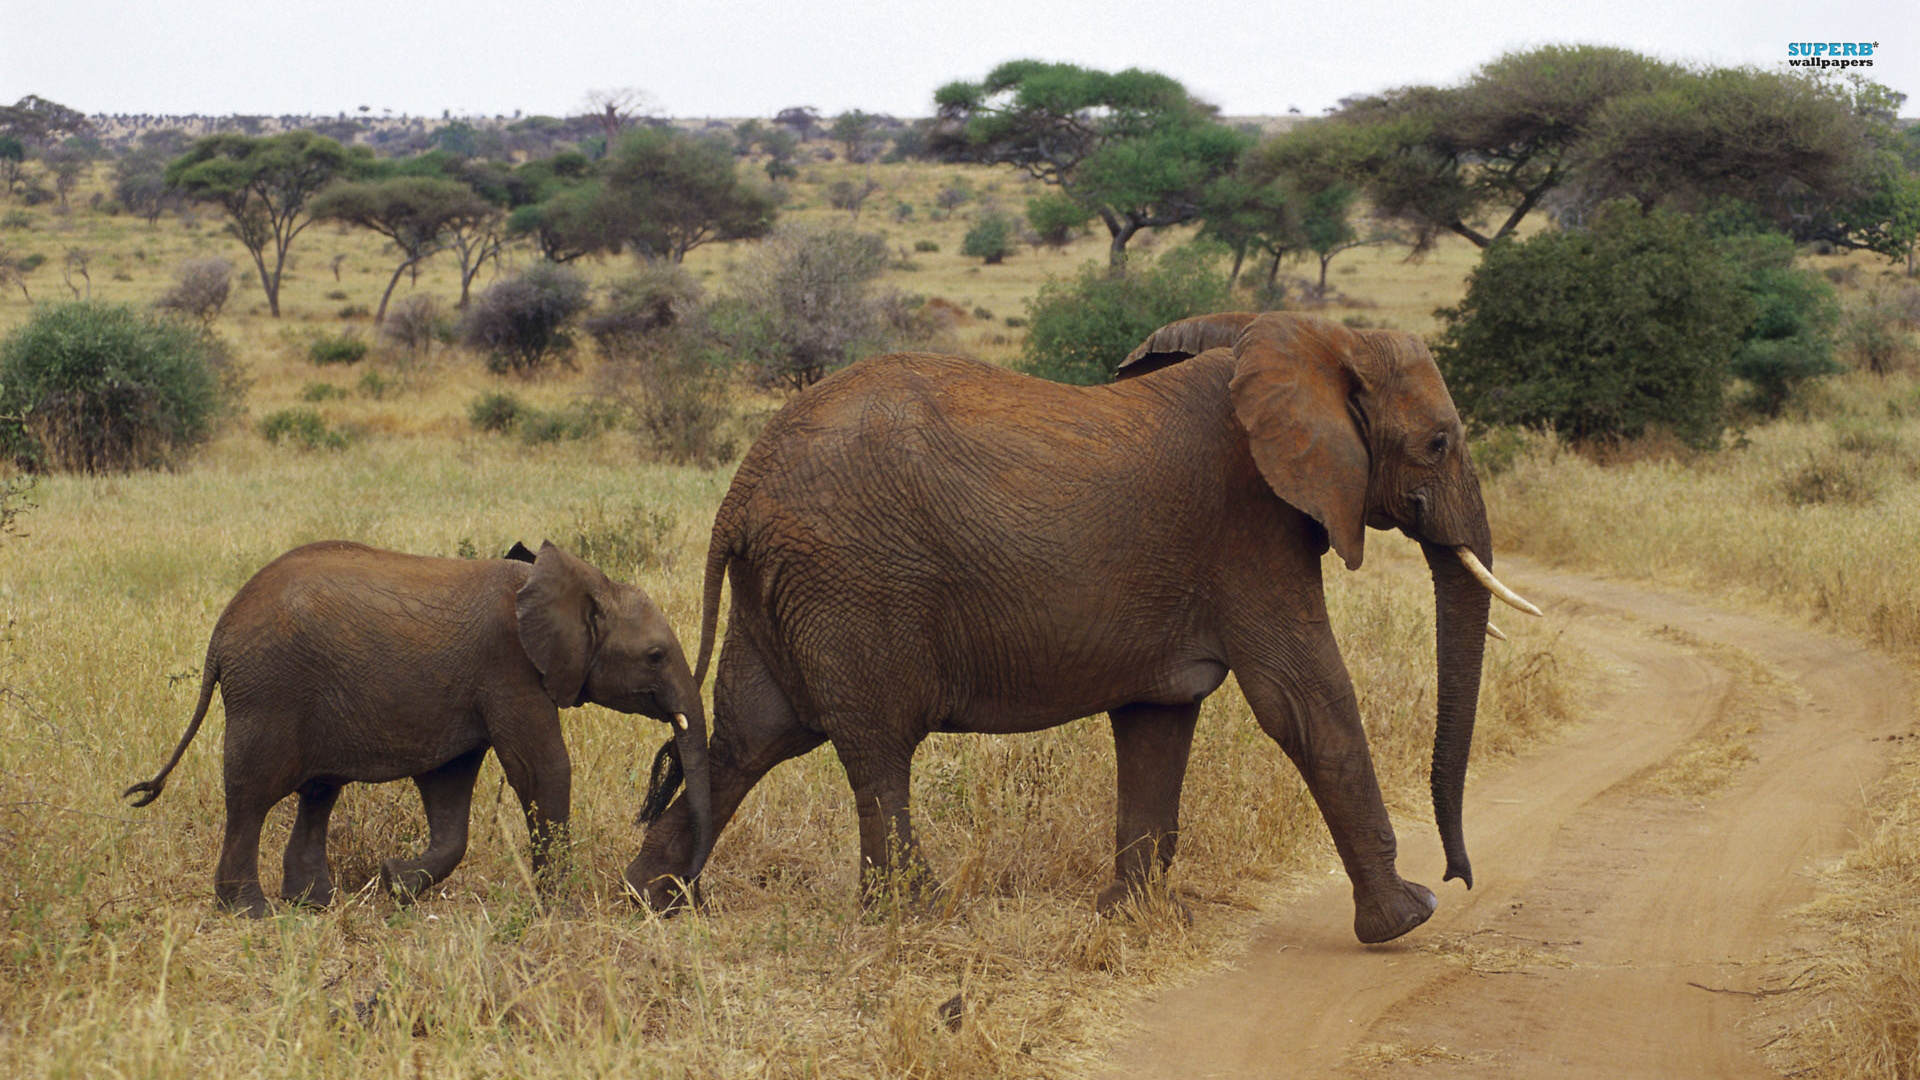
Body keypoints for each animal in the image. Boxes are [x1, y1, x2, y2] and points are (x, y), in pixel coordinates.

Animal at [123, 539, 715, 917]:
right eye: (656, 656)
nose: (682, 898)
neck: (578, 582)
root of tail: (220, 635)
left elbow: (449, 789)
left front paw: (394, 882)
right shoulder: (510, 668)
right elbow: (541, 769)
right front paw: (562, 912)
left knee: (318, 792)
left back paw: (314, 904)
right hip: (269, 691)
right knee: (252, 796)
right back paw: (251, 913)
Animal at [627, 311, 1539, 943]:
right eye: (1438, 442)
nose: (1460, 875)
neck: (1310, 333)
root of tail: (743, 486)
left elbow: (1157, 720)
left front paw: (1132, 919)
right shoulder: (1250, 530)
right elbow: (1305, 703)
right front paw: (1408, 919)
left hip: (784, 587)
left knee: (751, 737)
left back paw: (649, 900)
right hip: (853, 582)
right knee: (875, 749)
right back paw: (917, 917)